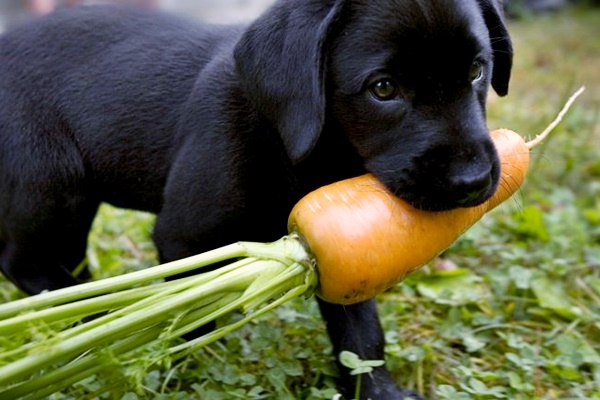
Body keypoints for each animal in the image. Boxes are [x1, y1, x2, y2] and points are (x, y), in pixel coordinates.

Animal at [0, 1, 512, 398]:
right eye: (383, 89)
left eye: (477, 71)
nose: (472, 180)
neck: (296, 144)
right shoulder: (183, 238)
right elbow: (191, 318)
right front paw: (177, 369)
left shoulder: (340, 244)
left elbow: (361, 331)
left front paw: (376, 390)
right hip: (50, 180)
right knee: (24, 263)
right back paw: (99, 315)